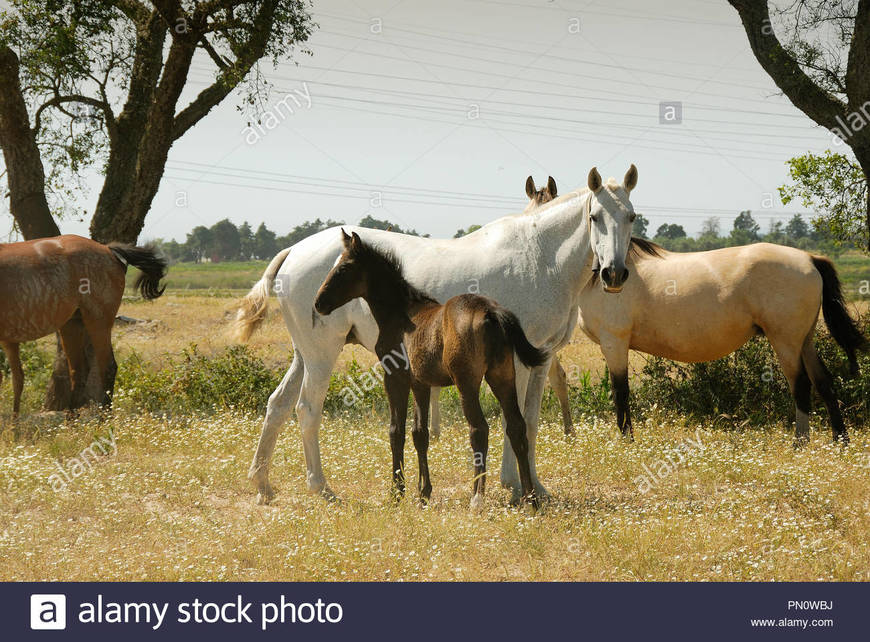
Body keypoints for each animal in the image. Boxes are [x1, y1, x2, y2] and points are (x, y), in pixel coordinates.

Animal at [0, 235, 166, 416]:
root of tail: (108, 250)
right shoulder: (9, 340)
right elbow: (18, 379)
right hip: (71, 325)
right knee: (78, 372)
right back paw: (70, 421)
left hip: (98, 322)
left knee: (108, 367)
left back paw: (104, 419)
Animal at [314, 230, 544, 510]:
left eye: (344, 268)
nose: (319, 303)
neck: (401, 314)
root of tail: (491, 311)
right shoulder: (420, 383)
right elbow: (419, 434)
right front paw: (423, 492)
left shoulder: (395, 378)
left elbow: (396, 431)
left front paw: (397, 491)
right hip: (502, 377)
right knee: (516, 427)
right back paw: (531, 497)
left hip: (467, 383)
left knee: (479, 430)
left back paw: (477, 497)